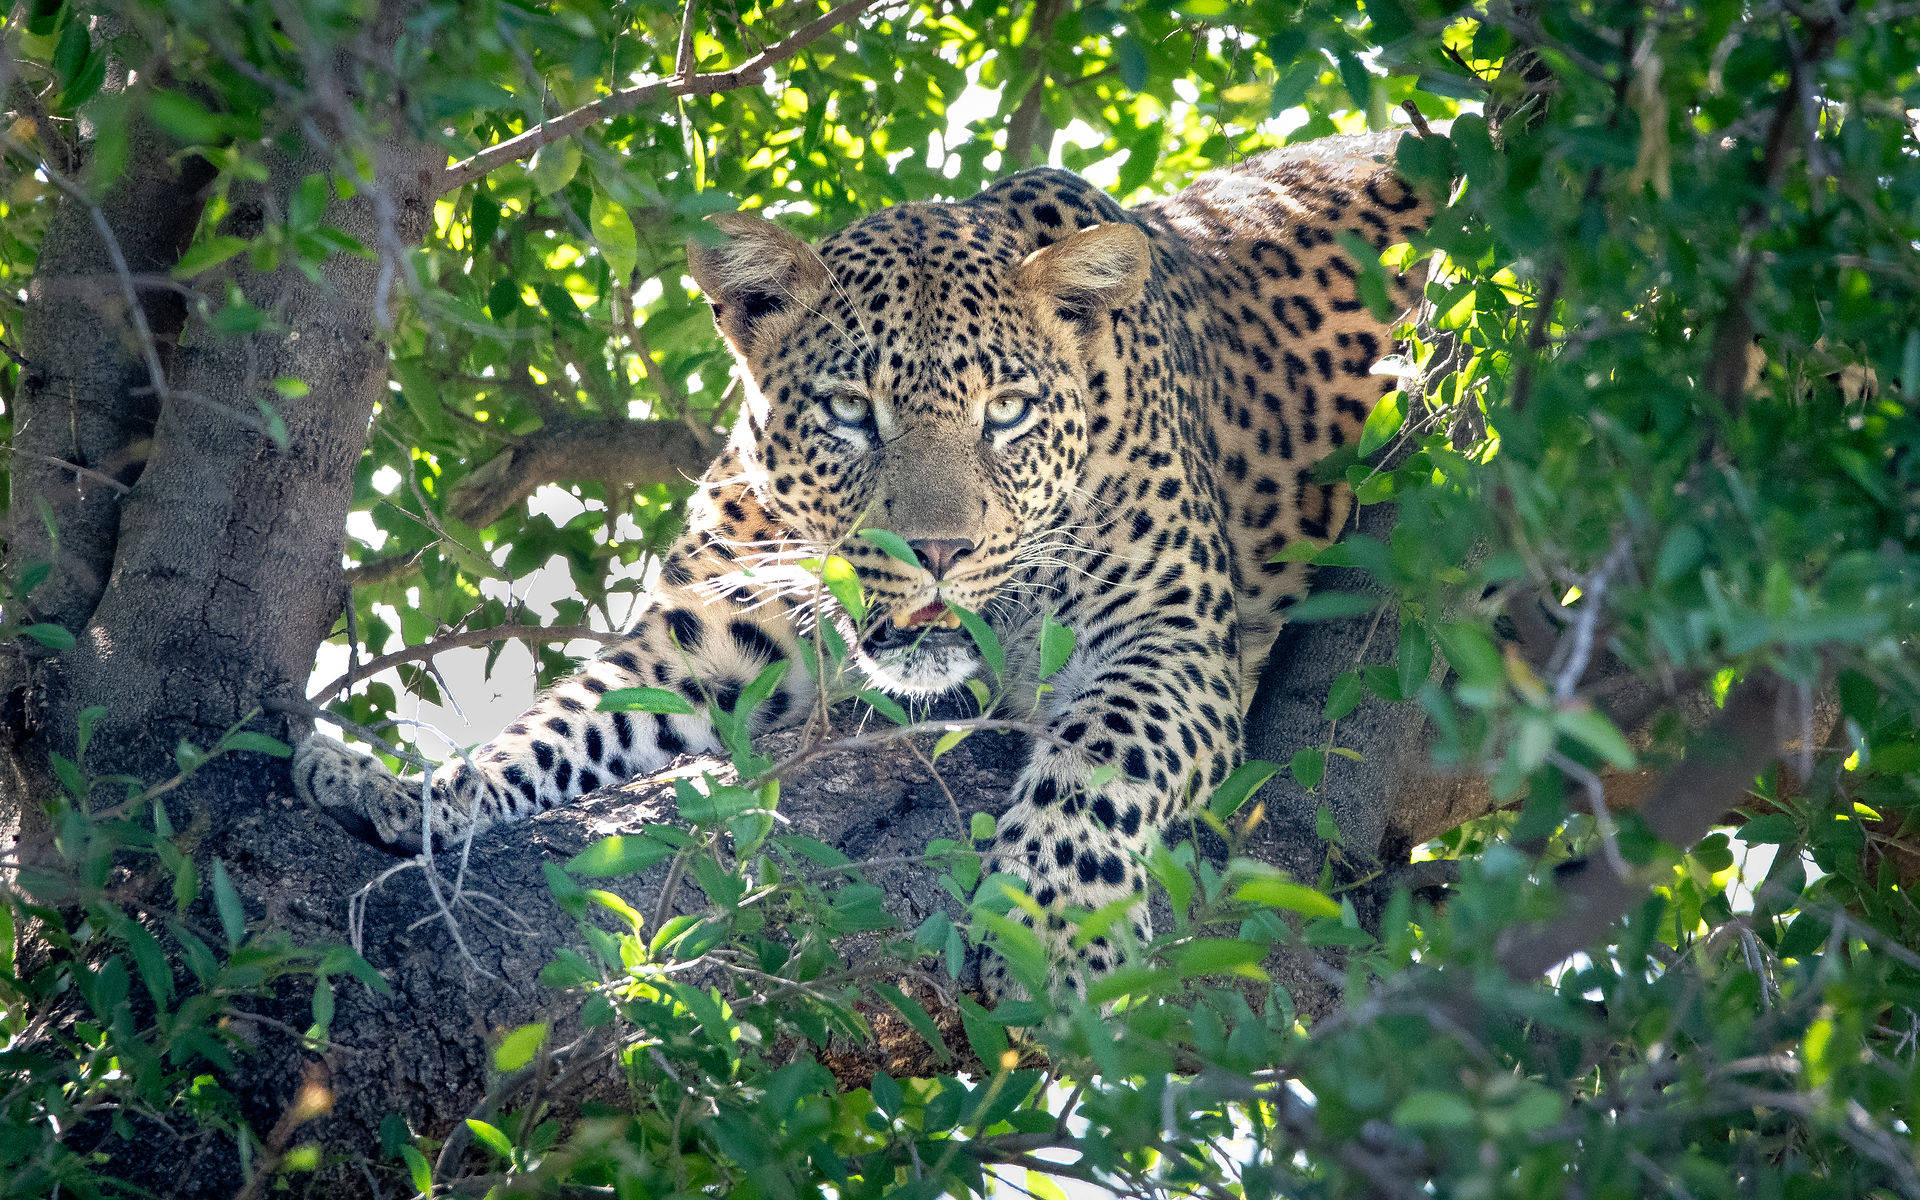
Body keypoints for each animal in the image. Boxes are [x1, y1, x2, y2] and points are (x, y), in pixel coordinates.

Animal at [294, 130, 1432, 996]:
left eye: (1005, 413)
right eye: (851, 411)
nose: (937, 552)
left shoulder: (1169, 634)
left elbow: (1103, 755)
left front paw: (1058, 934)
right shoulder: (714, 628)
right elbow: (569, 720)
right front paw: (409, 789)